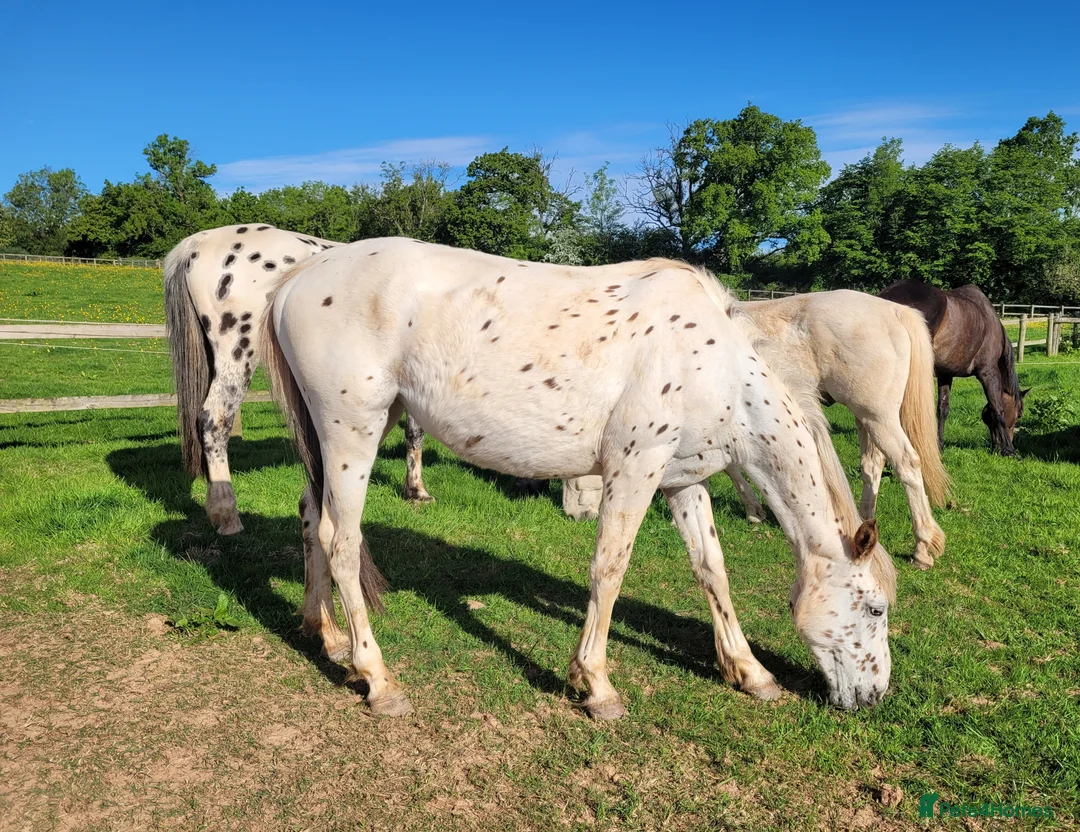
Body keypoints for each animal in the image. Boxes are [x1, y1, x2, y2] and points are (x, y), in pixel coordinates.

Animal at [163, 224, 433, 535]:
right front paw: (417, 490)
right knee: (214, 420)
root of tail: (199, 241)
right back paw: (227, 515)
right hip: (238, 352)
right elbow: (416, 432)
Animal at [261, 238, 898, 718]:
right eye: (874, 609)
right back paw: (377, 678)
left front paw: (749, 671)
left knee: (311, 517)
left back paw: (325, 634)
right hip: (352, 431)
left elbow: (711, 569)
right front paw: (596, 685)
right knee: (341, 542)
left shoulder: (682, 480)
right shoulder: (634, 468)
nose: (874, 697)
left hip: (340, 436)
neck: (715, 363)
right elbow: (609, 569)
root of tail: (300, 277)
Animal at [562, 290, 951, 569]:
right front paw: (753, 510)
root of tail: (894, 310)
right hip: (866, 417)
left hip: (877, 416)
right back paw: (862, 523)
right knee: (873, 465)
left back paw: (922, 548)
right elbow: (730, 468)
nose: (574, 516)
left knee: (907, 463)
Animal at [878, 280, 1028, 456]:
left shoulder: (945, 374)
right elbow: (997, 408)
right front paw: (1010, 450)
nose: (996, 447)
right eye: (1019, 414)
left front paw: (939, 445)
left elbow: (942, 409)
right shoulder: (989, 372)